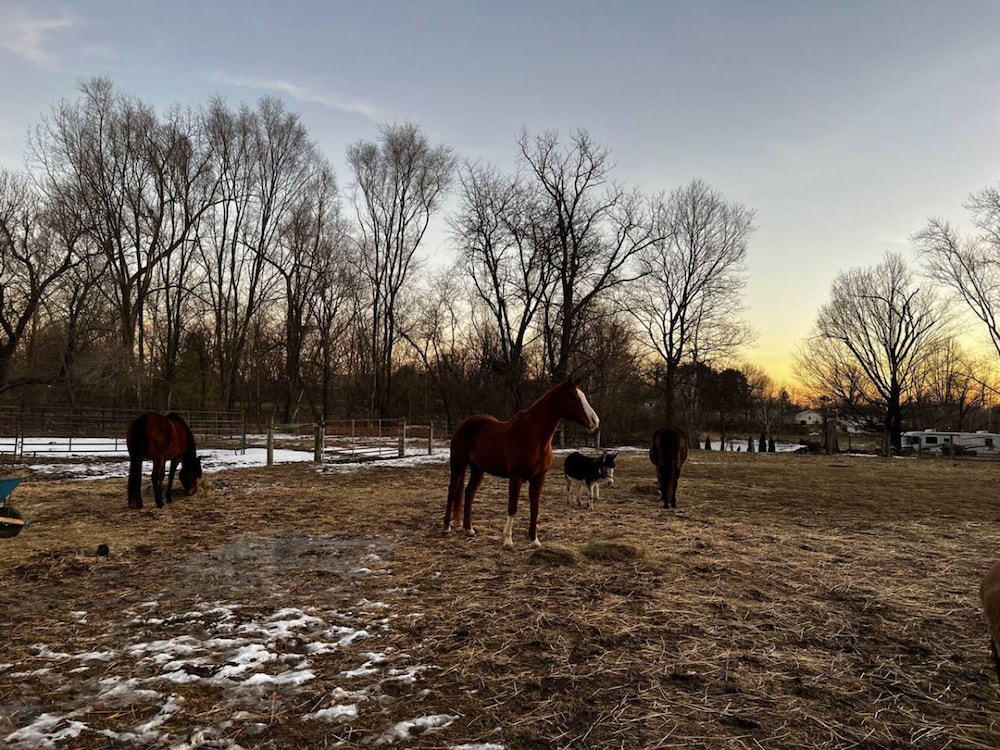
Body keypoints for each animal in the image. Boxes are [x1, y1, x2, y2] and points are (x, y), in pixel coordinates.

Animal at [446, 377, 600, 548]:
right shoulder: (516, 477)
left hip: (477, 468)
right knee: (452, 492)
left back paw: (468, 529)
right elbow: (512, 507)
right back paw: (447, 528)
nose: (595, 421)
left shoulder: (539, 478)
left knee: (469, 492)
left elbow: (535, 508)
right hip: (457, 465)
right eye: (572, 396)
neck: (534, 438)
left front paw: (534, 540)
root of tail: (464, 424)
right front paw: (508, 540)